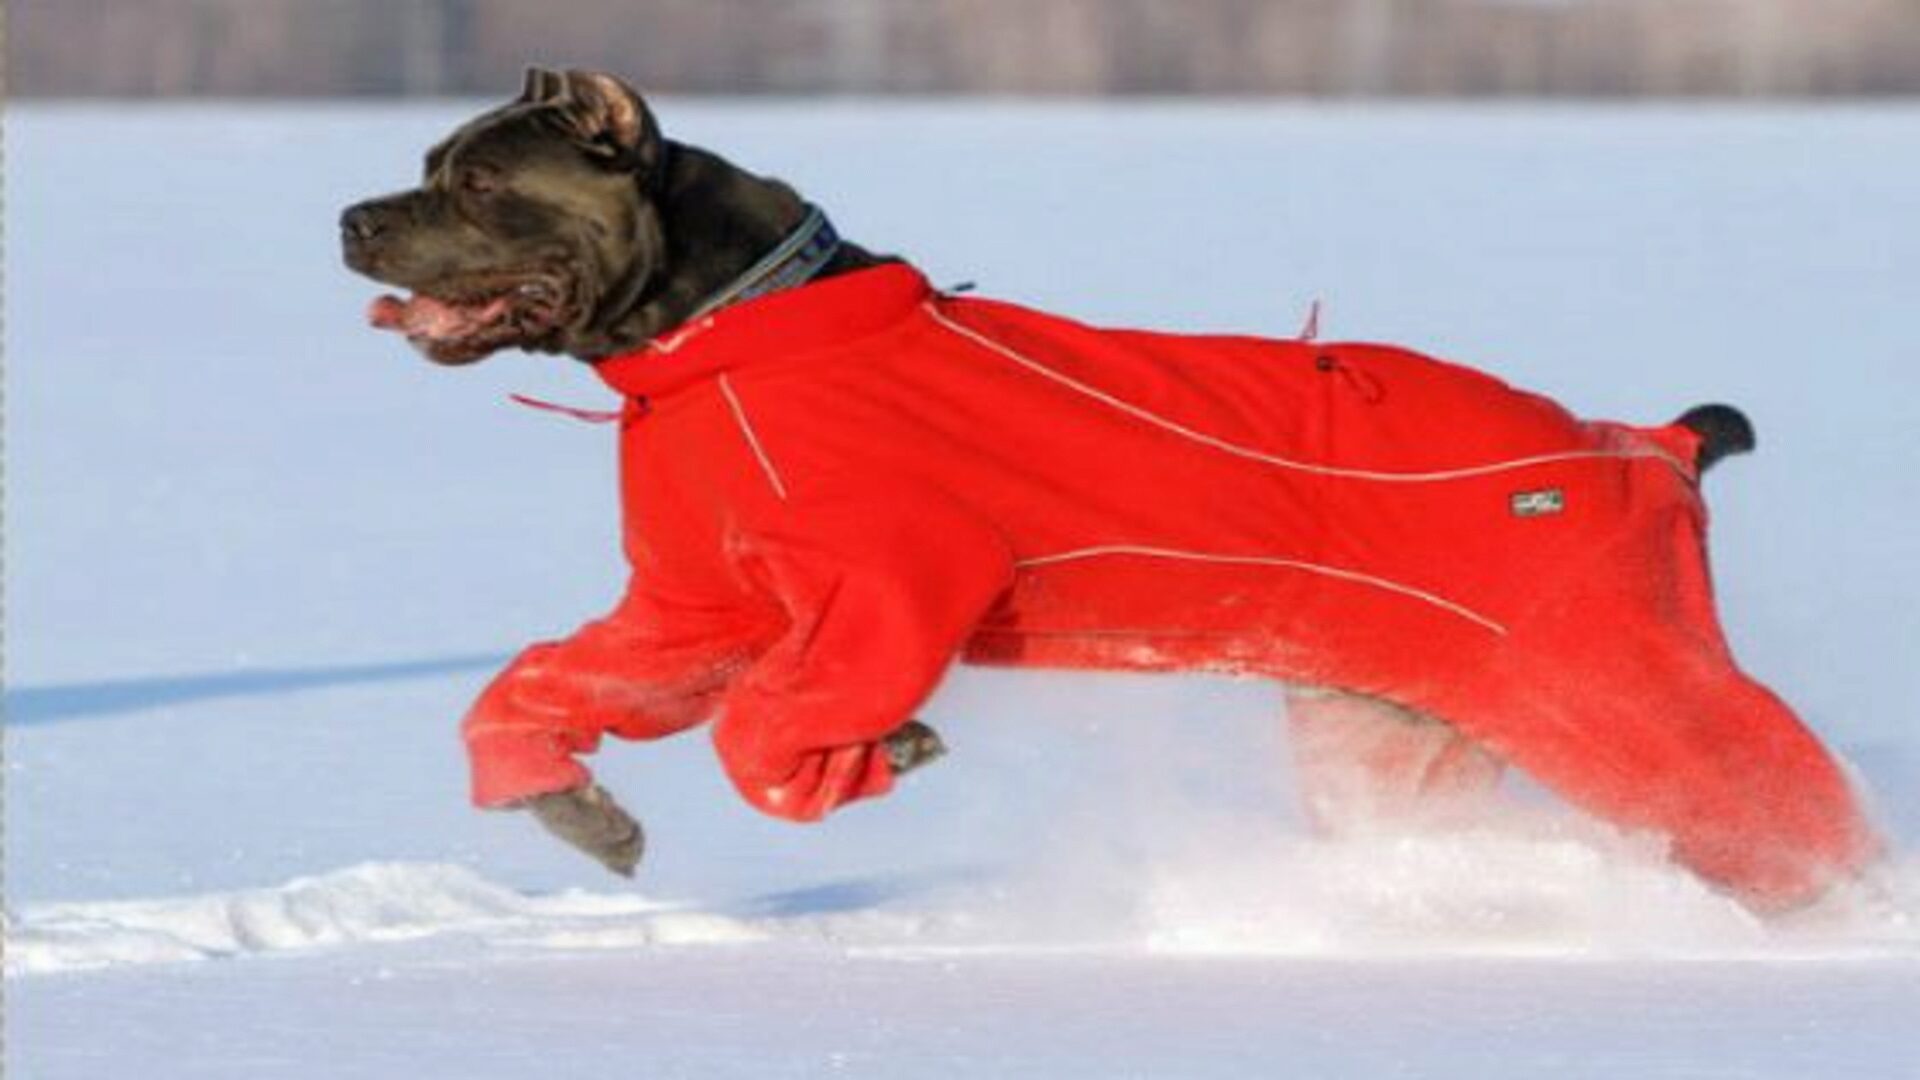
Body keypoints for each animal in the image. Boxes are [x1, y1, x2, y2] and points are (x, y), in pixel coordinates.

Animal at [341, 69, 1873, 907]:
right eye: (424, 167)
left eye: (477, 182)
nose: (352, 218)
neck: (716, 332)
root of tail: (1644, 445)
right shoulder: (691, 605)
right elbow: (545, 684)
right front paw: (565, 803)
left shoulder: (898, 577)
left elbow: (769, 722)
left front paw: (871, 755)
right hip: (1404, 731)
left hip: (1616, 680)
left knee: (1779, 807)